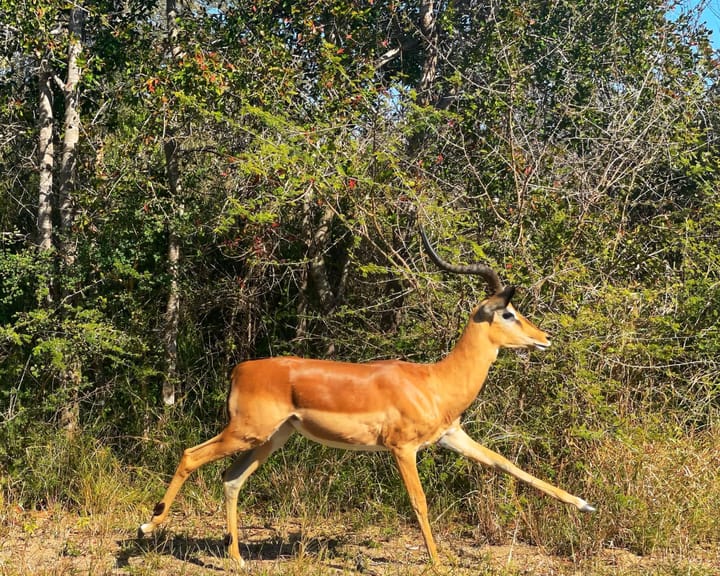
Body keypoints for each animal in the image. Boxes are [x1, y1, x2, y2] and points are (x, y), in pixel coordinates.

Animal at [139, 228, 595, 567]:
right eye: (508, 313)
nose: (544, 338)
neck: (434, 381)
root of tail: (241, 369)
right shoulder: (403, 448)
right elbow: (419, 502)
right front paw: (438, 562)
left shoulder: (451, 436)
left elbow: (507, 464)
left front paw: (583, 504)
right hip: (247, 432)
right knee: (190, 455)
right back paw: (147, 528)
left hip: (272, 438)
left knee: (231, 478)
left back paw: (236, 558)